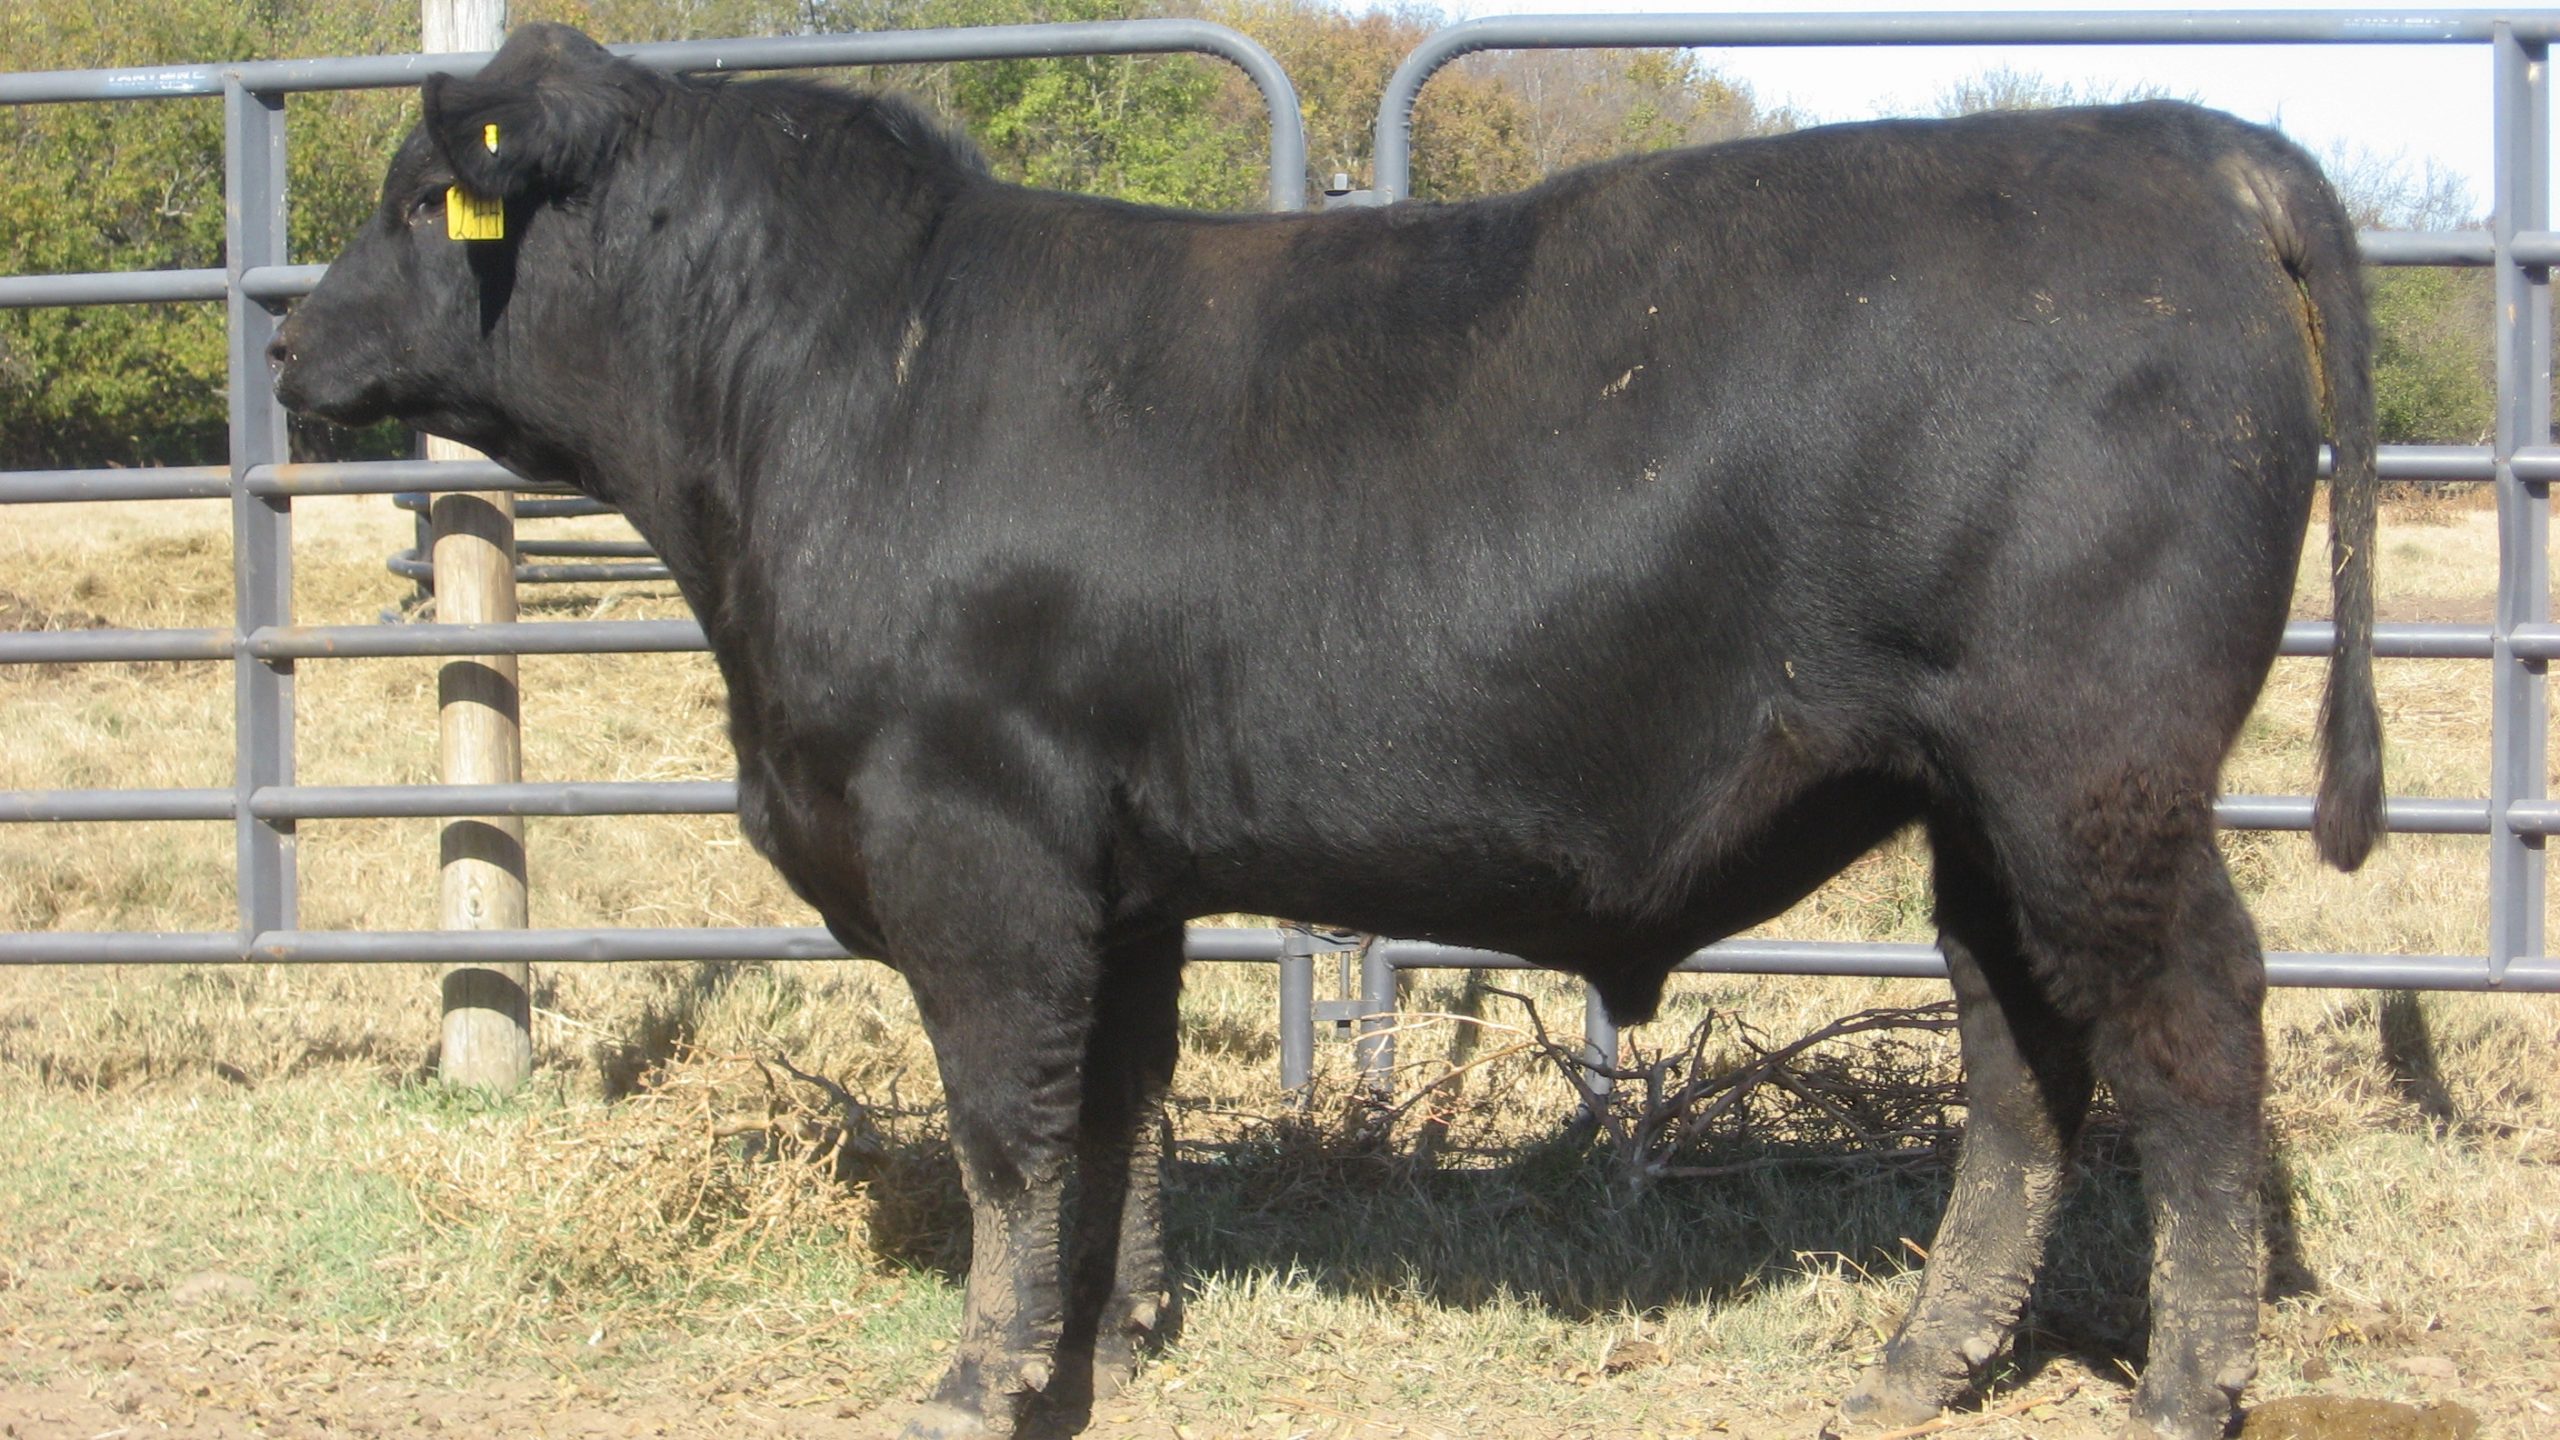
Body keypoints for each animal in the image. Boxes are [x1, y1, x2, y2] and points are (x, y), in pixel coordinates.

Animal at [271, 23, 2381, 1440]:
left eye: (414, 205)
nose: (288, 344)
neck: (833, 377)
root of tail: (2177, 137)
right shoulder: (1117, 868)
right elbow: (1110, 1107)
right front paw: (1110, 1337)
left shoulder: (971, 837)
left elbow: (1004, 1125)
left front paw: (979, 1375)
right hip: (1971, 800)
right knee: (2025, 1058)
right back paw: (1922, 1364)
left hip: (2090, 773)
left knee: (2191, 1036)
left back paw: (2182, 1387)